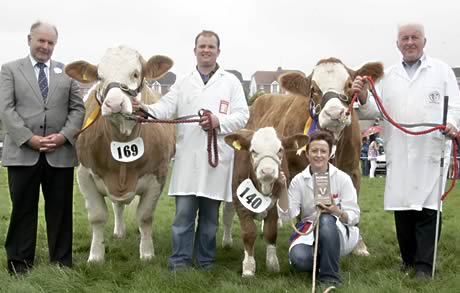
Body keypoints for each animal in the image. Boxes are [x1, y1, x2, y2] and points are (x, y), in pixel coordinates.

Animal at [63, 46, 174, 262]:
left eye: (136, 73)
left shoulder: (158, 175)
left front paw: (147, 253)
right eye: (100, 76)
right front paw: (96, 256)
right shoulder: (84, 175)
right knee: (117, 206)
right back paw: (119, 232)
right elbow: (97, 216)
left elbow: (145, 216)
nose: (114, 104)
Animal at [224, 57, 384, 256]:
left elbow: (354, 206)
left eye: (349, 84)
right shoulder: (295, 172)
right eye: (313, 89)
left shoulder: (353, 169)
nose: (334, 114)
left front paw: (359, 245)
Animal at [224, 126, 308, 274]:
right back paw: (227, 241)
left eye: (280, 150)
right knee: (227, 216)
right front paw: (248, 267)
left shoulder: (275, 205)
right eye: (253, 151)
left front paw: (272, 264)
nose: (267, 171)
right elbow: (249, 232)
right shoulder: (240, 203)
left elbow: (271, 232)